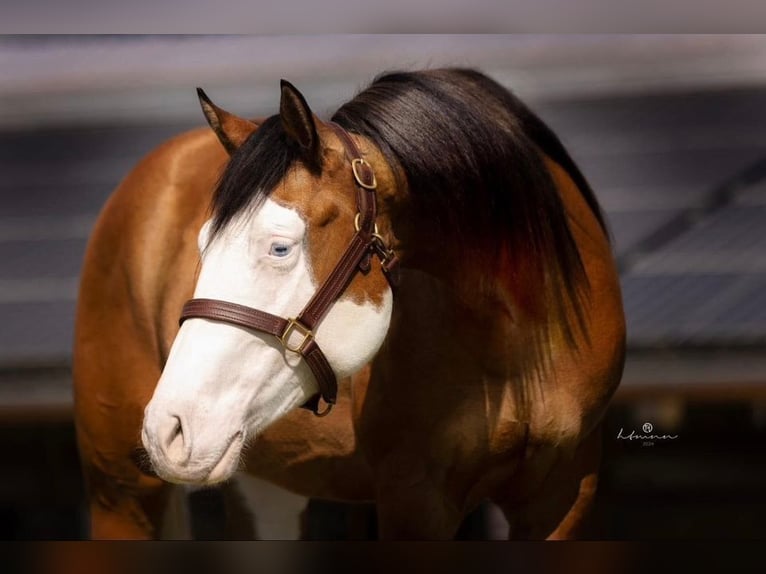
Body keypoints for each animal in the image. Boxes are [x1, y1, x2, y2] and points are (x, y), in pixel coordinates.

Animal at [73, 68, 625, 540]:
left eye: (280, 248)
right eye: (203, 245)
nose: (169, 429)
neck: (520, 340)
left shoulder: (564, 494)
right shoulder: (416, 496)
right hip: (120, 495)